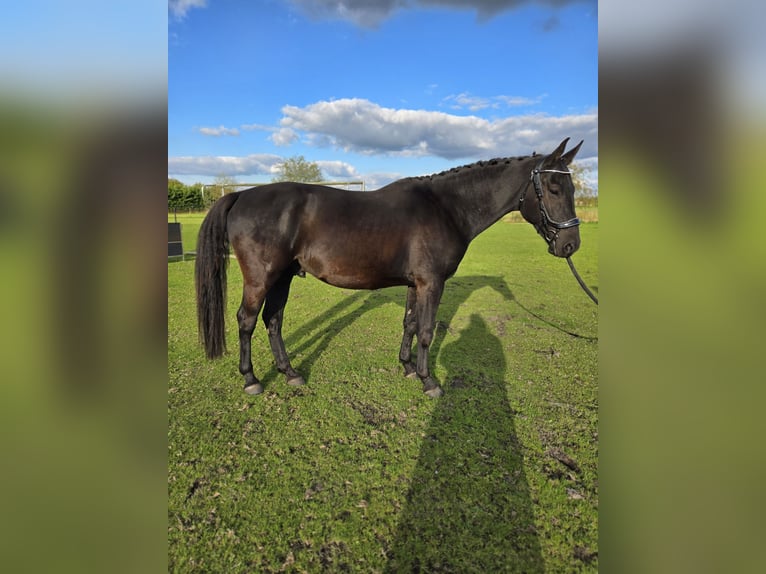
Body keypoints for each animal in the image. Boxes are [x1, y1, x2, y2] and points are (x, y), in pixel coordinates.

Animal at [195, 137, 584, 398]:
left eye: (571, 187)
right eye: (552, 187)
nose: (570, 245)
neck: (447, 207)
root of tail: (241, 195)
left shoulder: (416, 283)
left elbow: (409, 325)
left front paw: (408, 368)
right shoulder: (432, 283)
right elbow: (426, 330)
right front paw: (429, 382)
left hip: (283, 277)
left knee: (273, 321)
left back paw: (290, 373)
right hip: (261, 278)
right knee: (246, 321)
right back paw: (251, 380)